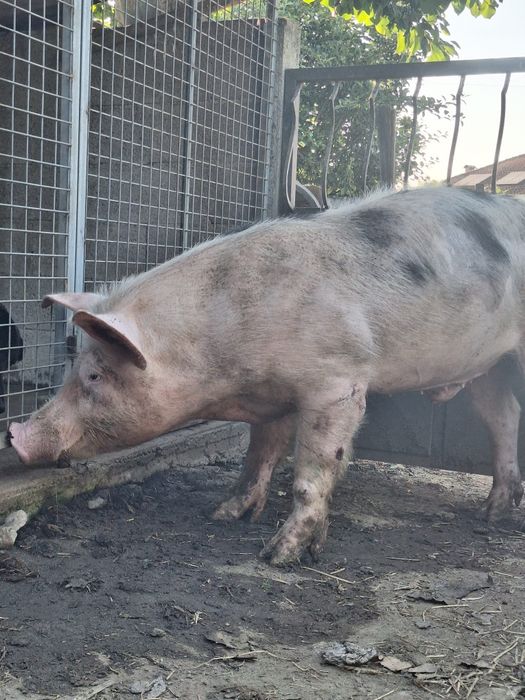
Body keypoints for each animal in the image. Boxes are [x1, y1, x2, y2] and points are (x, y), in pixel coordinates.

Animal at [7, 187, 525, 565]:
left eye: (95, 375)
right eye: (73, 368)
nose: (15, 434)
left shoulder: (338, 380)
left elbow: (313, 468)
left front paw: (278, 556)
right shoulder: (271, 397)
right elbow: (257, 456)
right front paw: (221, 514)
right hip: (492, 365)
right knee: (502, 418)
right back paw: (492, 514)